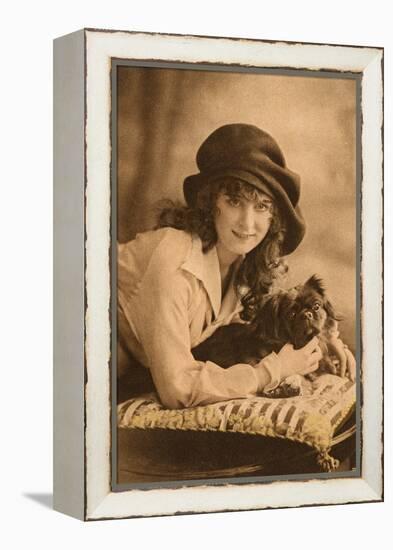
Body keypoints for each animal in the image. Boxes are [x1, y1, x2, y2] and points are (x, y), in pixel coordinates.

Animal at [192, 276, 340, 396]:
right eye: (291, 315)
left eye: (316, 306)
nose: (307, 314)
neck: (298, 343)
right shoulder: (250, 359)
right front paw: (286, 385)